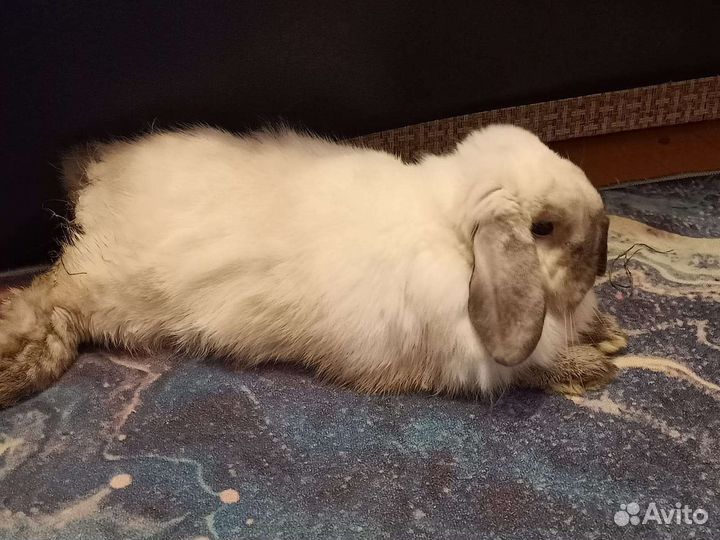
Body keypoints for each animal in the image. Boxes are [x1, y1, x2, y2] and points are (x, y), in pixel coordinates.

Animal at [0, 124, 627, 408]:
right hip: (111, 289)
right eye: (543, 228)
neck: (450, 236)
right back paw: (22, 366)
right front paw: (596, 368)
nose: (604, 251)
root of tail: (98, 181)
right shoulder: (479, 361)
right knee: (47, 299)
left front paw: (611, 334)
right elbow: (533, 368)